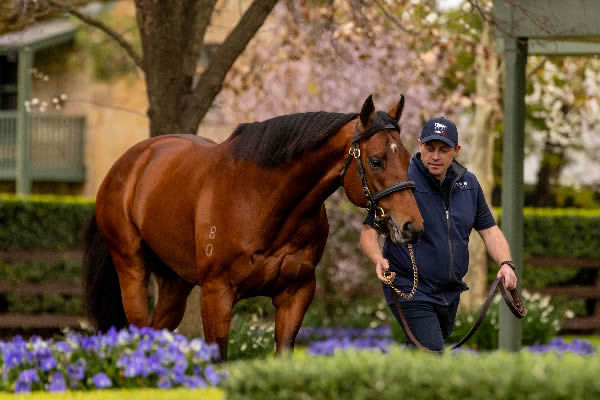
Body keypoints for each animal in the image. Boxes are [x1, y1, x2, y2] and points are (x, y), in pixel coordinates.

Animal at [83, 94, 422, 360]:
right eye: (376, 160)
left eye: (408, 156)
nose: (412, 226)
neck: (262, 200)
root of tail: (127, 164)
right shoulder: (217, 293)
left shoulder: (296, 292)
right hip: (131, 269)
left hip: (174, 282)